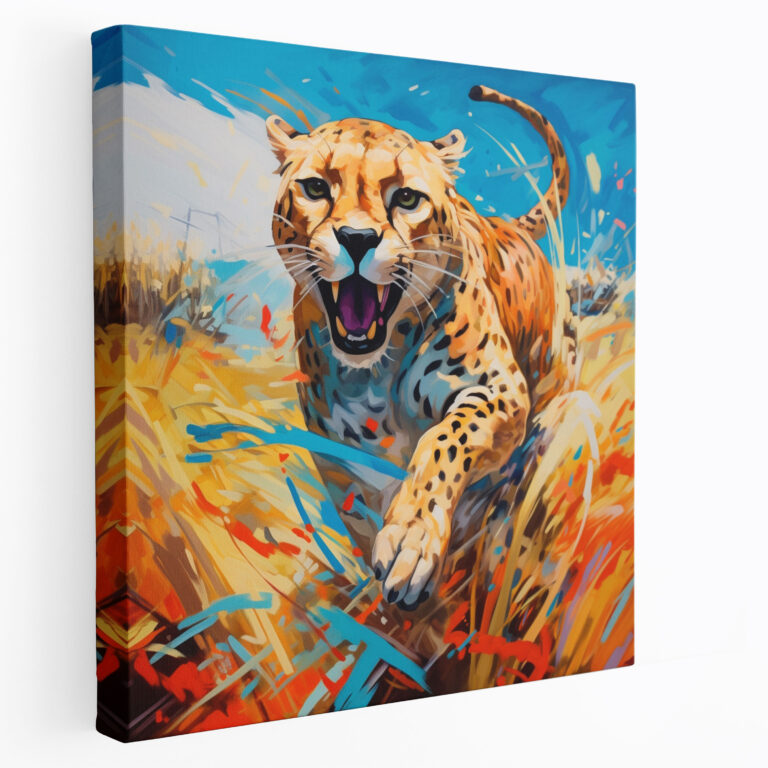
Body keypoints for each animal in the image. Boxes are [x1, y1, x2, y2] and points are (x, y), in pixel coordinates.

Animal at [266, 84, 571, 610]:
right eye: (317, 188)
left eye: (406, 197)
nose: (357, 238)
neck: (372, 372)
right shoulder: (338, 448)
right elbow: (358, 512)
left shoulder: (499, 388)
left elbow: (445, 440)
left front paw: (412, 538)